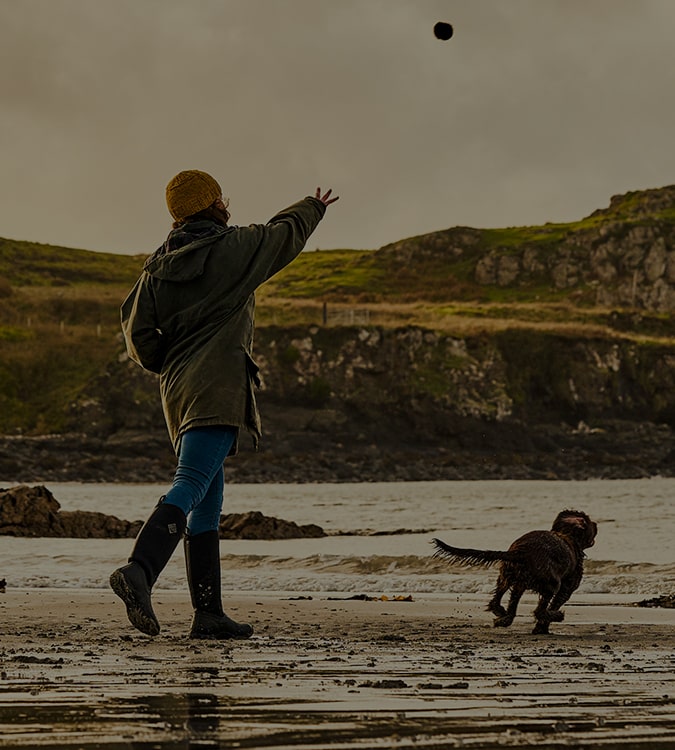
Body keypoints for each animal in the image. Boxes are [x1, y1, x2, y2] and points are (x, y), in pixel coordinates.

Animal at [434, 512, 596, 636]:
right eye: (590, 523)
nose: (595, 524)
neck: (568, 535)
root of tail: (521, 551)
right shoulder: (566, 589)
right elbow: (554, 604)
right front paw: (542, 628)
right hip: (550, 584)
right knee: (539, 610)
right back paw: (557, 616)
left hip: (509, 577)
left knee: (499, 600)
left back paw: (502, 617)